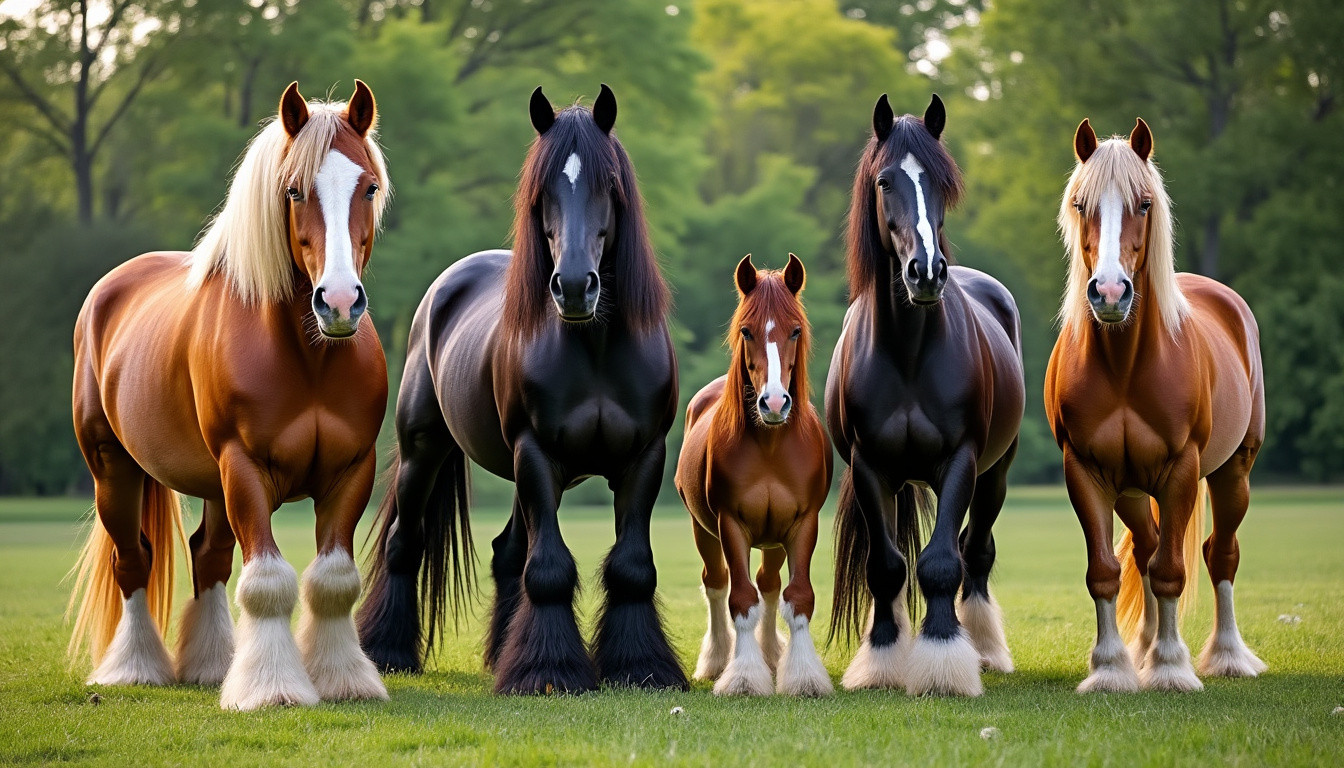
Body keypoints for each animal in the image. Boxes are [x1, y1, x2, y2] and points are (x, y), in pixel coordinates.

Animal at [67, 82, 392, 710]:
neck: (308, 358)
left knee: (208, 556)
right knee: (133, 560)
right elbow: (266, 582)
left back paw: (214, 665)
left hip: (212, 485)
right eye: (294, 190)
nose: (340, 302)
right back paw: (136, 667)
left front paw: (344, 680)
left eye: (368, 186)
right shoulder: (244, 468)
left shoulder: (350, 471)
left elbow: (334, 581)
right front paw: (272, 689)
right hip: (114, 469)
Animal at [356, 84, 687, 694]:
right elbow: (550, 568)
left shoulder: (643, 457)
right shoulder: (536, 452)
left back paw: (498, 651)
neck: (594, 345)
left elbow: (631, 567)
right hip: (425, 451)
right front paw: (548, 671)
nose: (575, 286)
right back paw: (387, 650)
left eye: (608, 184)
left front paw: (639, 666)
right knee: (404, 544)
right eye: (543, 189)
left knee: (508, 551)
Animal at [675, 254, 833, 697]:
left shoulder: (802, 523)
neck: (771, 447)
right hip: (703, 530)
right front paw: (743, 677)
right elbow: (741, 599)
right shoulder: (730, 524)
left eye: (795, 329)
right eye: (746, 330)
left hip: (774, 537)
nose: (774, 402)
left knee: (770, 584)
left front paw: (803, 677)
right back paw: (717, 660)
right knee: (716, 582)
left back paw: (772, 655)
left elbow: (798, 597)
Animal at [825, 94, 1025, 697]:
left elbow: (940, 562)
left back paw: (985, 649)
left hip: (994, 474)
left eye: (942, 181)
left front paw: (942, 660)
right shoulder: (870, 467)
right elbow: (886, 566)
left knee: (974, 550)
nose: (927, 272)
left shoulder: (960, 460)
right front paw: (882, 659)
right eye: (884, 180)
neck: (907, 353)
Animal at [1045, 118, 1267, 692]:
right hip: (1128, 488)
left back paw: (1228, 655)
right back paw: (1143, 650)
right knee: (1145, 552)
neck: (1125, 367)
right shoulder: (1087, 471)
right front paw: (1111, 668)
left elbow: (1171, 571)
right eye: (1080, 203)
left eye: (1143, 204)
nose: (1109, 292)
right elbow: (1106, 572)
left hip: (1233, 471)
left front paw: (1170, 667)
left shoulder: (1182, 470)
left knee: (1220, 554)